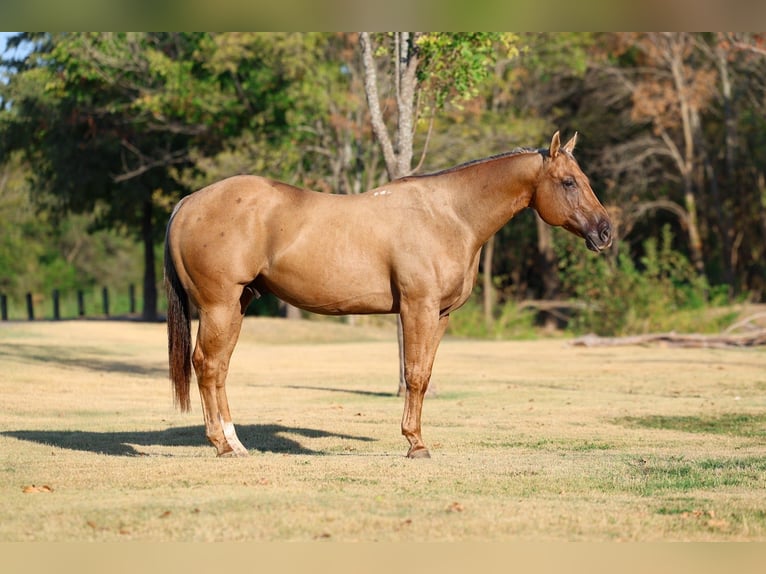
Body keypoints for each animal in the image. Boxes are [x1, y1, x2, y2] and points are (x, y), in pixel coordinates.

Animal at [164, 131, 612, 458]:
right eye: (569, 182)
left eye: (585, 180)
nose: (605, 231)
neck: (448, 215)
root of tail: (188, 203)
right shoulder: (418, 307)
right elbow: (413, 374)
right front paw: (415, 444)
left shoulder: (441, 315)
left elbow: (425, 375)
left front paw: (416, 439)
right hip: (219, 306)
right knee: (207, 366)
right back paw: (220, 445)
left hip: (236, 306)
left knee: (220, 369)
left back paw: (235, 443)